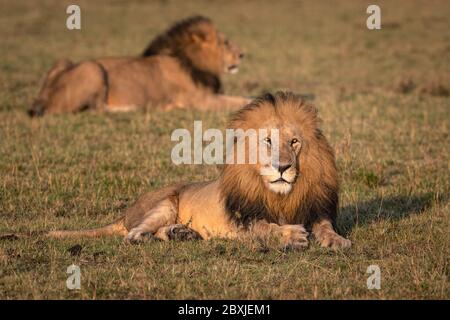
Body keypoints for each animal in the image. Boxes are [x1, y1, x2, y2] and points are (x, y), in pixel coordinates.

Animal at [9, 91, 352, 251]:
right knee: (135, 233)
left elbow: (324, 227)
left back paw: (183, 233)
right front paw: (292, 235)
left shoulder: (315, 208)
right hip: (164, 202)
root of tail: (125, 214)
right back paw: (149, 238)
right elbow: (266, 227)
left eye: (294, 142)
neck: (282, 195)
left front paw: (337, 241)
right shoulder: (244, 220)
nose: (282, 168)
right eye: (267, 141)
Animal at [28, 15, 248, 116]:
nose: (242, 54)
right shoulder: (200, 100)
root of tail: (42, 98)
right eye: (225, 43)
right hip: (92, 68)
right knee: (96, 109)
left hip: (64, 61)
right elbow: (239, 101)